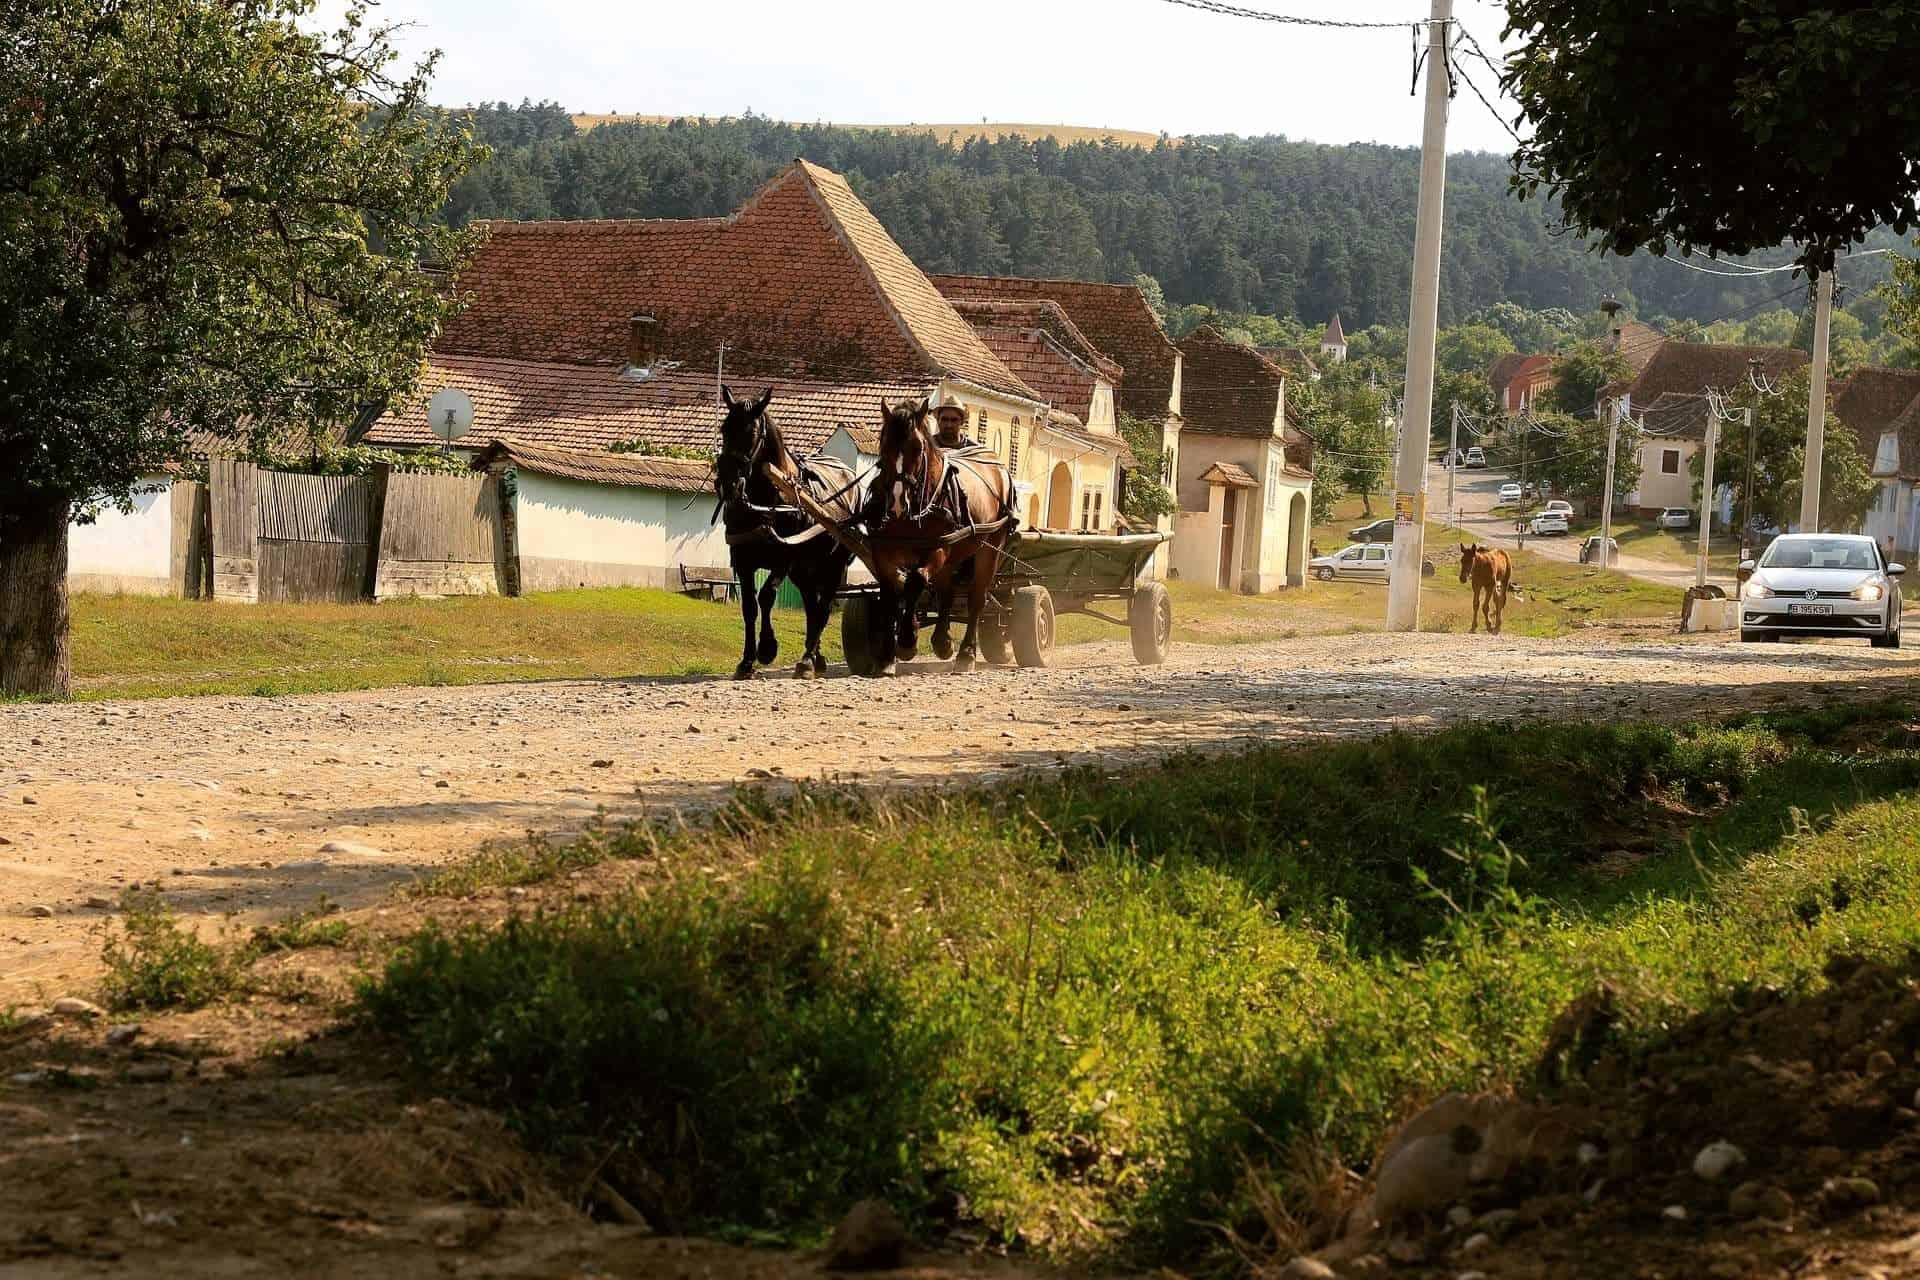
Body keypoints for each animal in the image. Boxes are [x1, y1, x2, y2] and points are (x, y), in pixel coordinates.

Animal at [714, 385, 864, 679]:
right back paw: (815, 657)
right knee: (812, 606)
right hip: (804, 570)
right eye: (724, 429)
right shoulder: (743, 560)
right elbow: (749, 606)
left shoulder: (784, 558)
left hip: (833, 564)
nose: (727, 481)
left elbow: (766, 596)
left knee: (823, 607)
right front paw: (746, 661)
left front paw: (767, 648)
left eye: (751, 433)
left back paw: (807, 660)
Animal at [871, 397, 1021, 679]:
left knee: (977, 598)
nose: (896, 501)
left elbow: (915, 581)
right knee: (946, 592)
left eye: (917, 447)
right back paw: (942, 641)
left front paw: (907, 640)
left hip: (989, 547)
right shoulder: (883, 551)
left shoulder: (937, 549)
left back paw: (966, 653)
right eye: (884, 444)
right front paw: (886, 655)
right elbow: (891, 593)